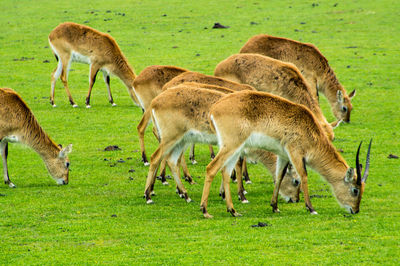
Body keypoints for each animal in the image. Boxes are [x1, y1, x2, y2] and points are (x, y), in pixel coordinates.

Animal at [144, 85, 300, 204]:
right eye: (296, 181)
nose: (296, 199)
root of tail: (155, 102)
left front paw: (224, 193)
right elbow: (236, 166)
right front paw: (241, 195)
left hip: (181, 140)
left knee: (171, 160)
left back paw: (184, 194)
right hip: (170, 138)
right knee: (155, 157)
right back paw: (148, 195)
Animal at [200, 90, 372, 218]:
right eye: (355, 190)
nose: (355, 210)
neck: (309, 130)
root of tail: (215, 108)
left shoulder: (283, 155)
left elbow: (279, 176)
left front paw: (274, 206)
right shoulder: (295, 153)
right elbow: (304, 175)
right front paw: (311, 208)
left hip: (235, 149)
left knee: (225, 172)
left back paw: (233, 211)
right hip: (231, 146)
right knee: (211, 168)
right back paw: (205, 210)